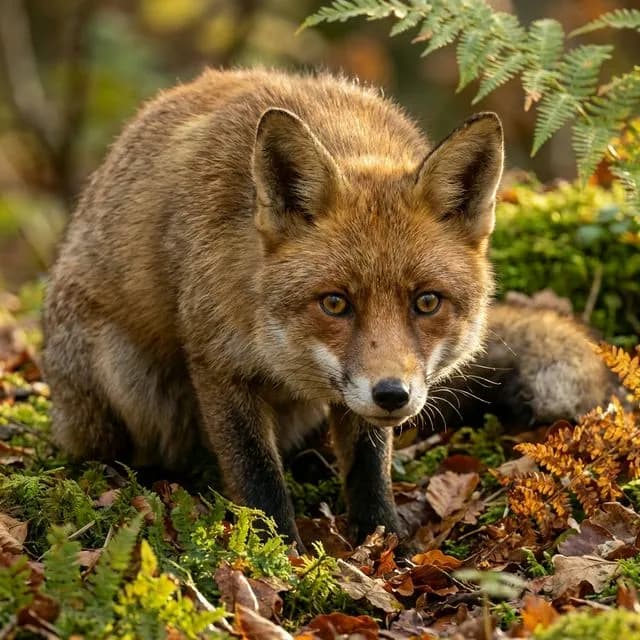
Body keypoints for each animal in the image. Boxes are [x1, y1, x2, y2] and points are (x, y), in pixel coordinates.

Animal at [42, 68, 607, 549]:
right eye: (335, 302)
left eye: (426, 302)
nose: (392, 394)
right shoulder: (218, 364)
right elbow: (256, 473)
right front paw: (275, 552)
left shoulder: (360, 404)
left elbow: (368, 466)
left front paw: (383, 543)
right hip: (119, 370)